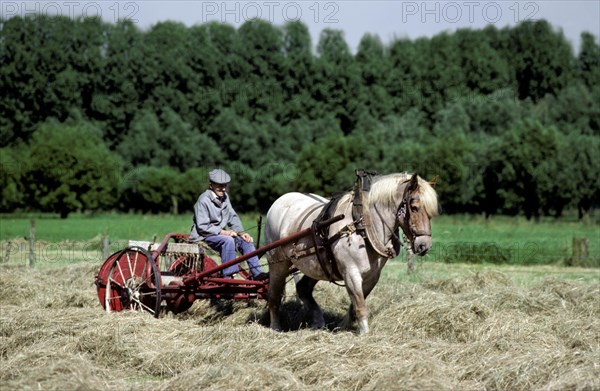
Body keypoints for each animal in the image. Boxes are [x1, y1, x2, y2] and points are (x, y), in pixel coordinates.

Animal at [264, 173, 438, 336]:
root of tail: (279, 201)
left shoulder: (372, 277)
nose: (424, 246)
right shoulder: (351, 273)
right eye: (414, 207)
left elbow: (355, 306)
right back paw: (275, 327)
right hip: (278, 263)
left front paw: (342, 327)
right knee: (274, 296)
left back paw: (318, 322)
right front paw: (365, 334)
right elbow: (360, 304)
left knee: (303, 289)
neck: (362, 225)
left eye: (430, 213)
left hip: (316, 265)